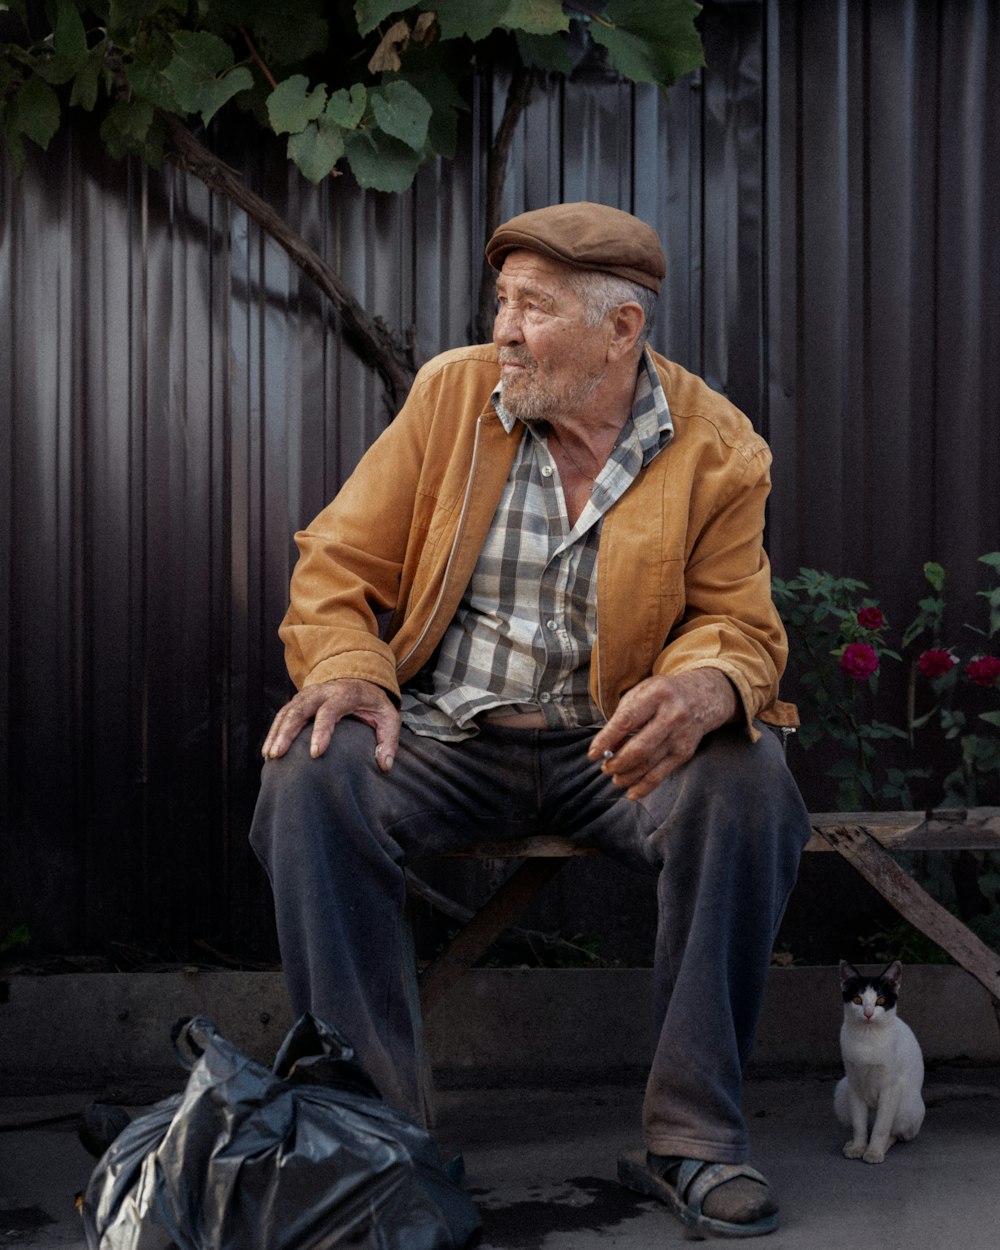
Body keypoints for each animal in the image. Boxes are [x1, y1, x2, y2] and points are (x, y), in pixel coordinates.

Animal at [830, 965, 925, 1160]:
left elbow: (882, 1127)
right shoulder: (854, 1084)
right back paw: (853, 1142)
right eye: (857, 1000)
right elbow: (859, 1124)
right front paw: (858, 1147)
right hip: (842, 1089)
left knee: (896, 1133)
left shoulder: (891, 1088)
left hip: (908, 1104)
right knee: (866, 1126)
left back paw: (884, 1145)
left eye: (880, 1000)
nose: (868, 1014)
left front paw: (874, 1151)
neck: (867, 1037)